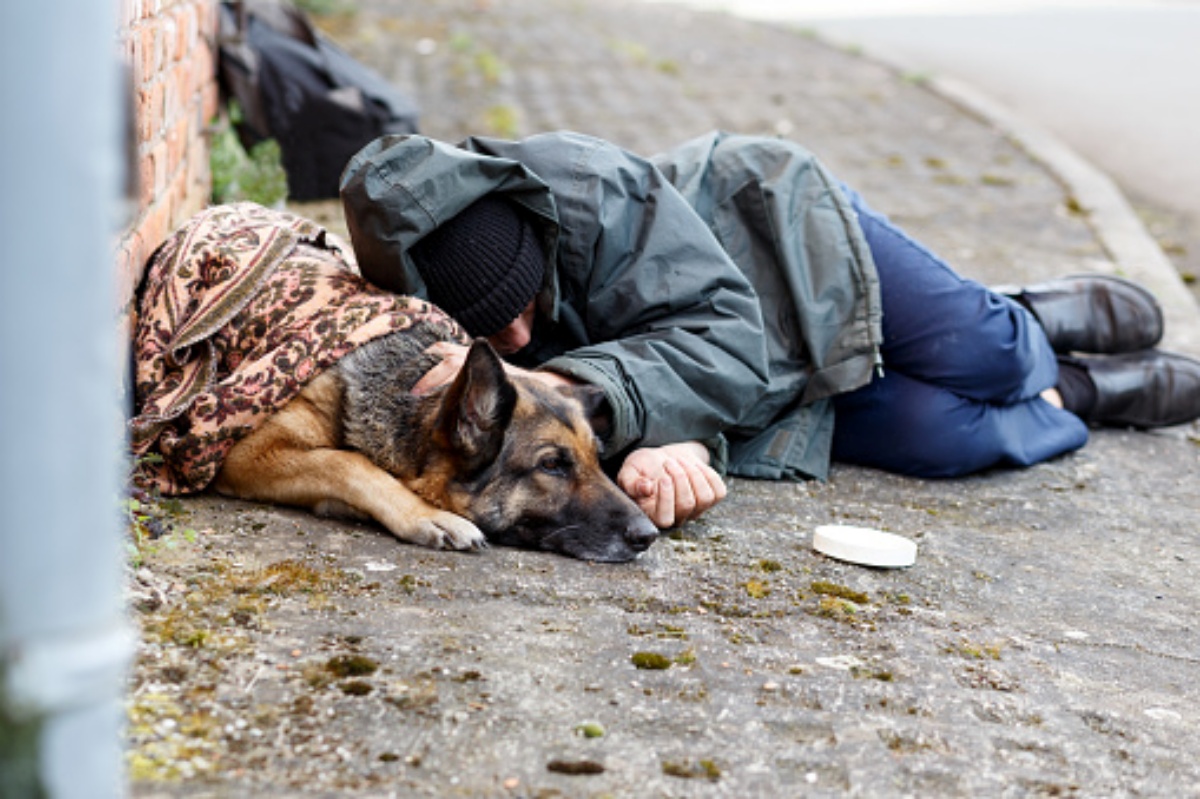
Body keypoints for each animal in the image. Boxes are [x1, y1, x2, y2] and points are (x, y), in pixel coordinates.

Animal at [220, 321, 662, 559]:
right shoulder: (245, 452)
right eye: (551, 465)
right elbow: (344, 461)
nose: (649, 536)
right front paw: (424, 514)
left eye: (597, 459)